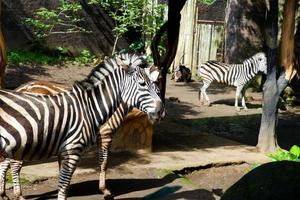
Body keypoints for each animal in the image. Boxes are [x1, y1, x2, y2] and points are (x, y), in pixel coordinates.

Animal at [0, 53, 164, 200]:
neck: (91, 106)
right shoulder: (103, 135)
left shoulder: (65, 146)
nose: (161, 112)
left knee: (5, 163)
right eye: (143, 84)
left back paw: (4, 194)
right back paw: (18, 195)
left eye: (156, 84)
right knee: (15, 164)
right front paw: (104, 191)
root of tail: (21, 87)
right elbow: (103, 162)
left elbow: (63, 177)